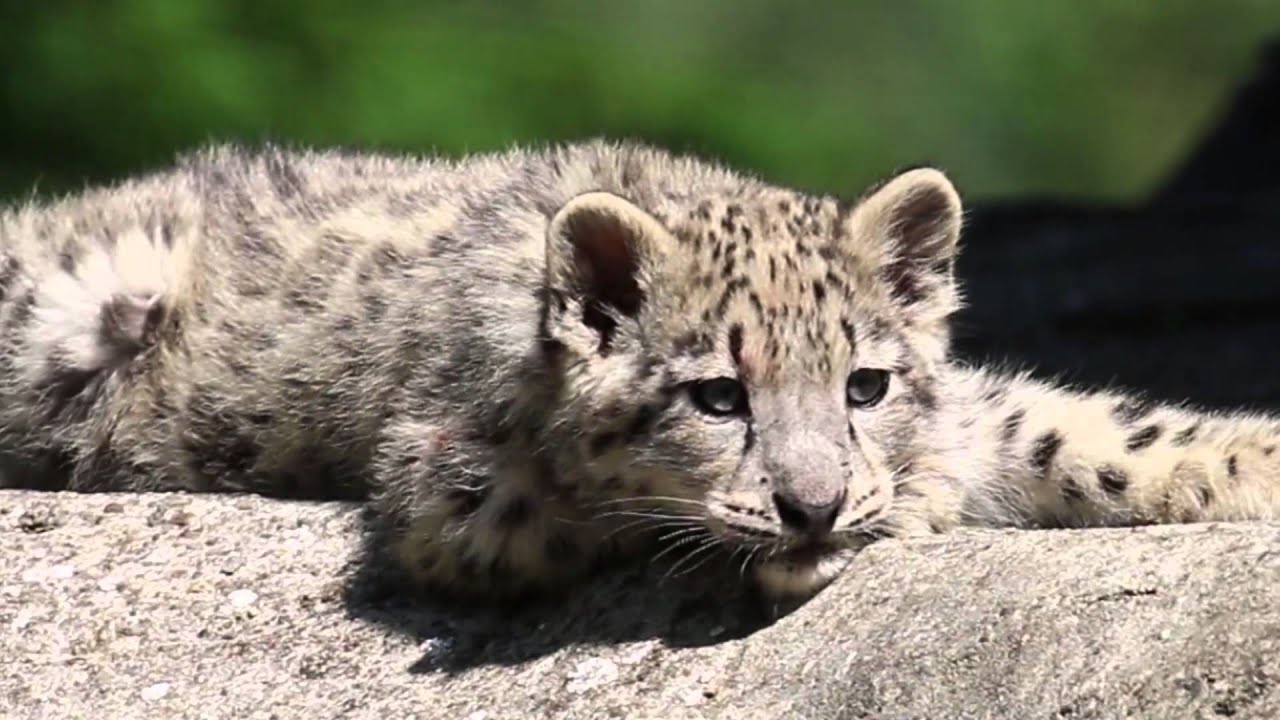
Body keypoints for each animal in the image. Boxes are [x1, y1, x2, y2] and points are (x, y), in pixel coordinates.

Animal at [1, 139, 1277, 600]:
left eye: (863, 384)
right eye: (717, 395)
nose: (813, 504)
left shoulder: (972, 406)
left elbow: (1067, 425)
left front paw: (1249, 458)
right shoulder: (456, 489)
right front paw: (909, 503)